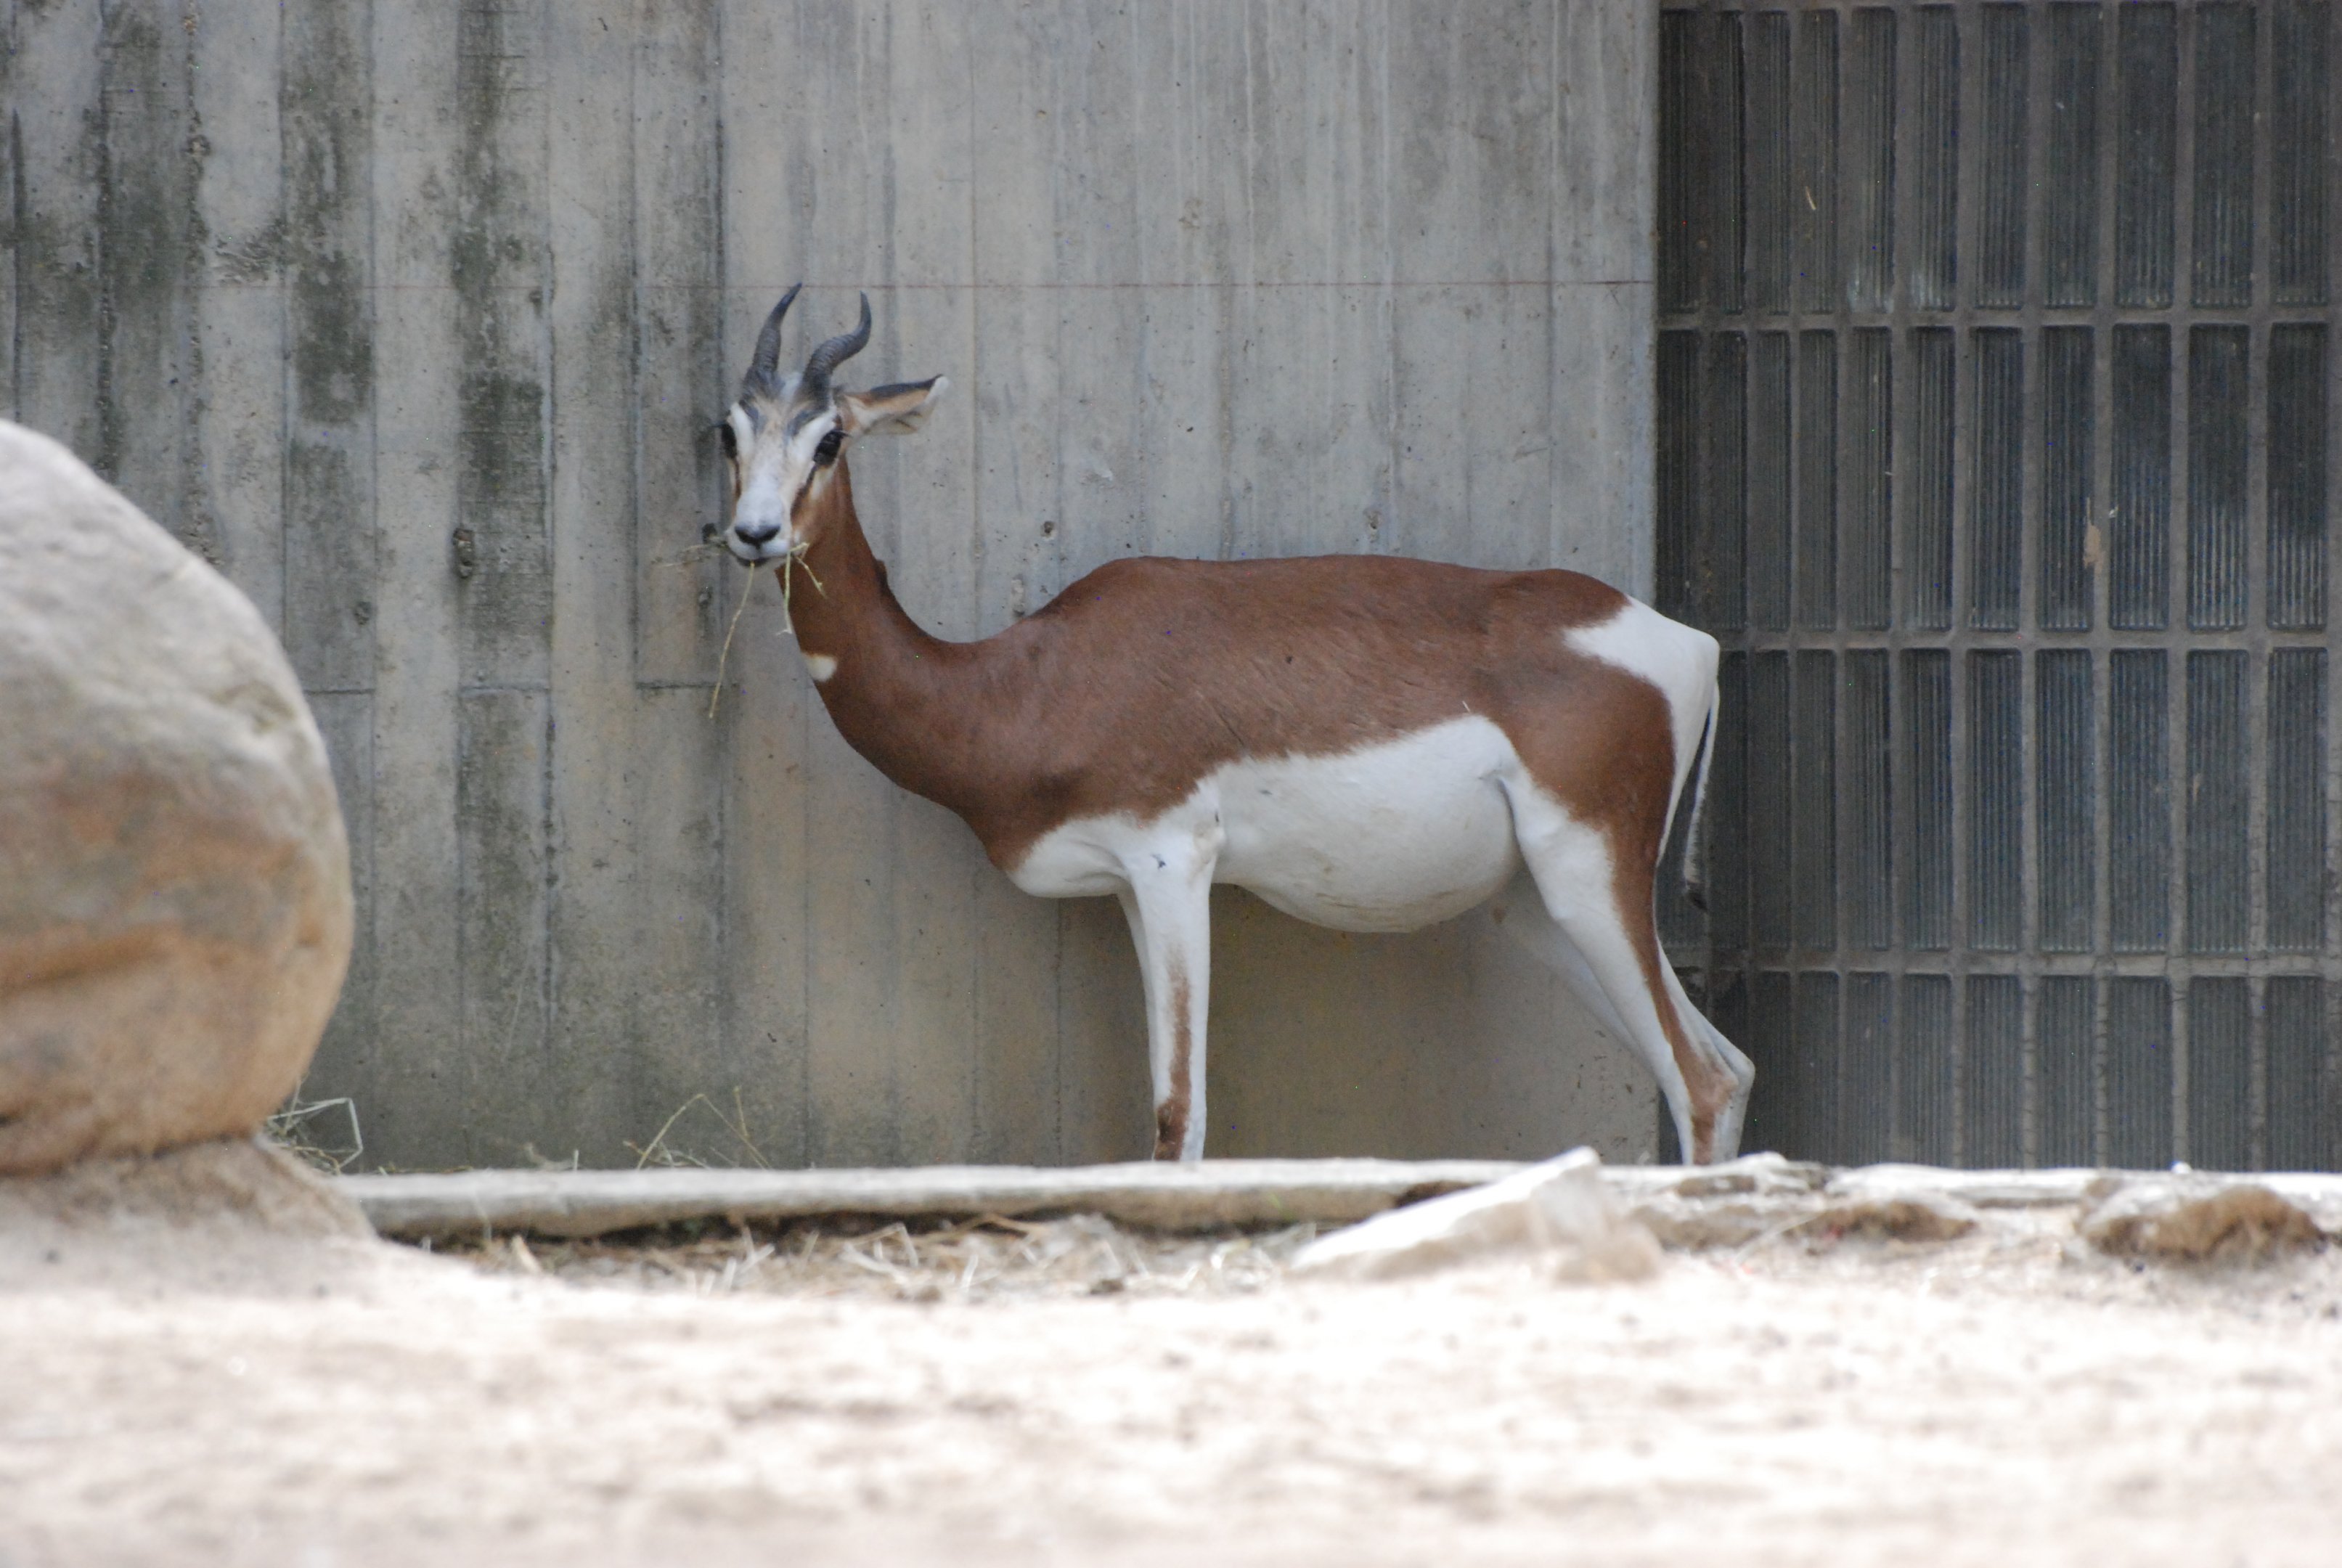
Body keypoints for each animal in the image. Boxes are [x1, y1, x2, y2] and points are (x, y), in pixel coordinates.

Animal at [718, 288, 1755, 1164]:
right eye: (728, 434)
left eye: (828, 441)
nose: (753, 534)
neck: (1026, 684)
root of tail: (1687, 641)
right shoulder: (1128, 888)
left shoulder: (1175, 861)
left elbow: (1179, 1110)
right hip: (1538, 905)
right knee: (1732, 1067)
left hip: (1589, 875)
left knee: (1698, 1082)